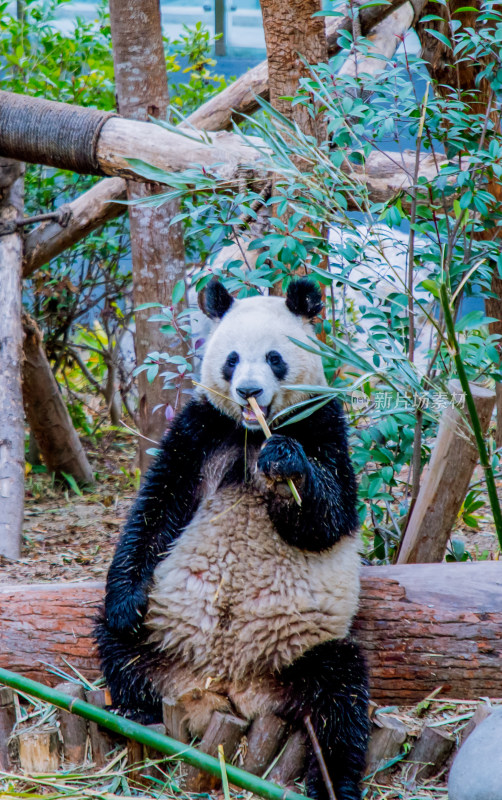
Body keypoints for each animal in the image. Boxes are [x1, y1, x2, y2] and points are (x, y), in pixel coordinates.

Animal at [95, 280, 368, 800]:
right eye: (232, 359)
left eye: (275, 358)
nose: (249, 391)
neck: (251, 433)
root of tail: (226, 688)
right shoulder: (201, 428)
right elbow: (157, 507)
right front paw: (124, 601)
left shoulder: (322, 423)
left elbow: (329, 518)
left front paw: (287, 464)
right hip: (162, 634)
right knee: (118, 647)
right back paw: (133, 709)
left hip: (299, 656)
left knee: (340, 698)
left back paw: (335, 782)